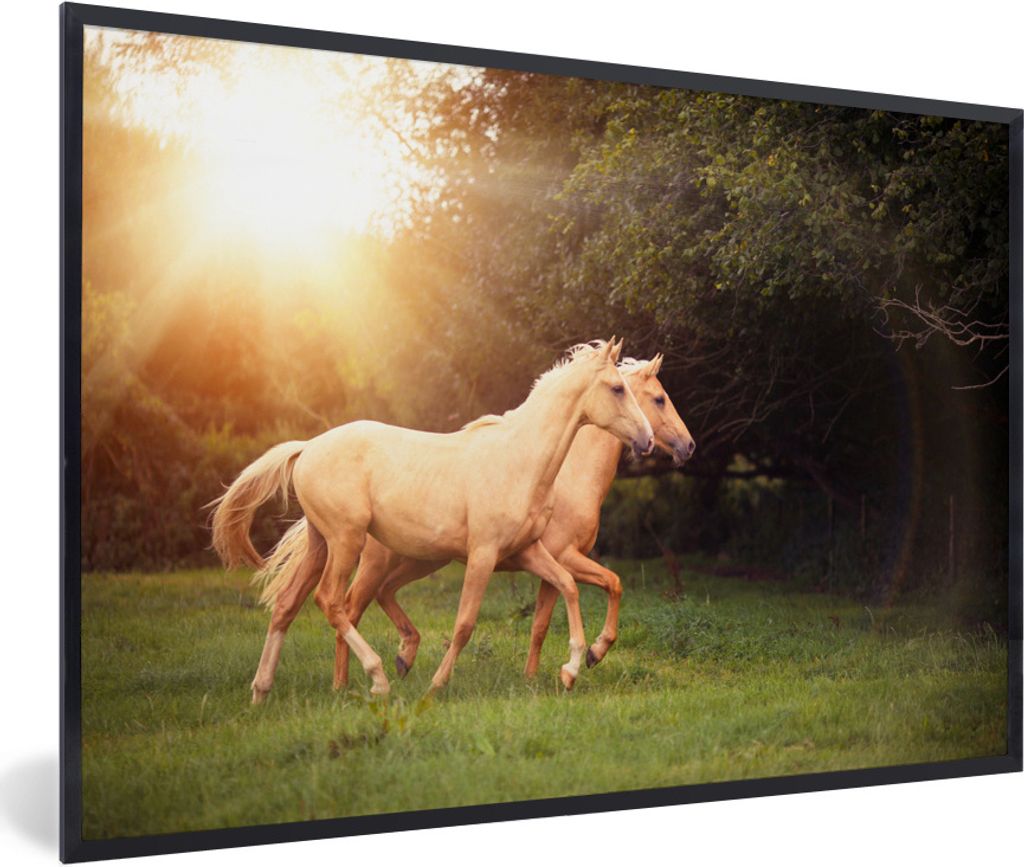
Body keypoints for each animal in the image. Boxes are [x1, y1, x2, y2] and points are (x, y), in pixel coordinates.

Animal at [210, 339, 654, 702]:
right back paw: (378, 679)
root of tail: (307, 448)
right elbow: (464, 623)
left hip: (324, 543)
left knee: (287, 605)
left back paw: (262, 691)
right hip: (347, 541)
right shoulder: (483, 554)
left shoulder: (530, 551)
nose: (648, 440)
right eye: (618, 388)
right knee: (332, 602)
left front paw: (573, 667)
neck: (520, 460)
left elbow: (568, 587)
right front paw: (437, 685)